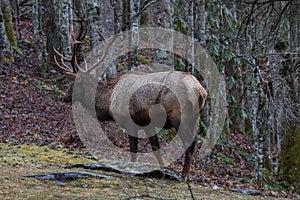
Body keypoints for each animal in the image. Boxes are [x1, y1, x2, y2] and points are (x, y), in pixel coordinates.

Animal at [54, 29, 206, 181]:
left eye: (74, 84)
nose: (65, 97)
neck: (109, 101)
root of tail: (200, 91)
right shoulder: (147, 124)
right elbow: (155, 147)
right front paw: (161, 171)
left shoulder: (129, 120)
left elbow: (133, 148)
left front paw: (131, 170)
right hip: (194, 118)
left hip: (178, 116)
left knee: (190, 143)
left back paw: (184, 176)